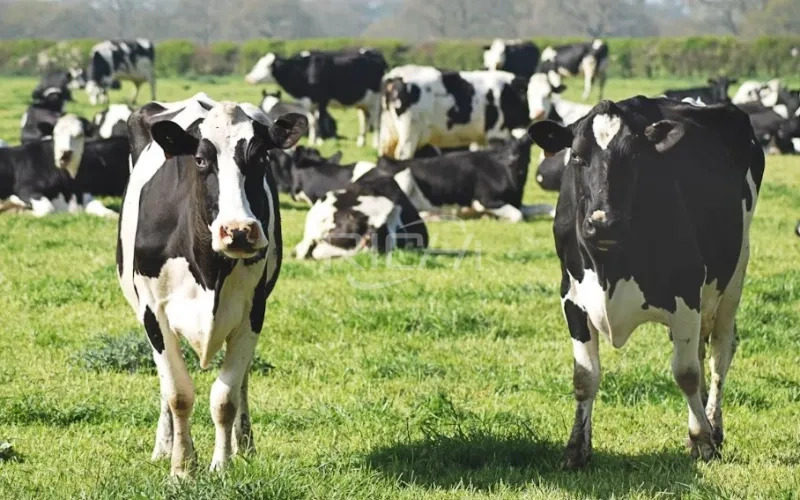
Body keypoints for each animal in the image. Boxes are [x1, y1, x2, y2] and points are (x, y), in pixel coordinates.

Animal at [116, 94, 307, 477]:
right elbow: (177, 393)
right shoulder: (153, 313)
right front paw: (181, 467)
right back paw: (164, 446)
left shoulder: (252, 312)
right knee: (165, 386)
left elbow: (225, 397)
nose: (239, 231)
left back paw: (244, 443)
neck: (209, 271)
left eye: (261, 157)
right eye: (201, 159)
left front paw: (222, 464)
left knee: (243, 380)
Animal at [245, 48, 386, 147]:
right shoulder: (308, 103)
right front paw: (312, 141)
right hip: (363, 103)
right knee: (365, 120)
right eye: (257, 64)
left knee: (376, 121)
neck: (304, 69)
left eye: (267, 66)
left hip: (376, 99)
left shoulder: (322, 100)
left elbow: (320, 120)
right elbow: (312, 121)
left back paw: (376, 144)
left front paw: (320, 141)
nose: (249, 78)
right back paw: (361, 142)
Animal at [373, 135, 553, 222]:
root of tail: (386, 160)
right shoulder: (485, 200)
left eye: (524, 146)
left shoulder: (517, 202)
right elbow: (518, 215)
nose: (512, 159)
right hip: (404, 179)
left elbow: (547, 207)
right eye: (504, 146)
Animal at [379, 65, 530, 160]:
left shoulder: (480, 138)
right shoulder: (497, 133)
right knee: (403, 154)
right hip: (410, 132)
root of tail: (395, 76)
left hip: (389, 132)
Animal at [526, 95, 764, 468]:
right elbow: (584, 376)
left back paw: (714, 427)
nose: (603, 222)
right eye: (576, 155)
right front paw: (576, 449)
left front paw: (702, 441)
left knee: (719, 353)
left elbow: (686, 373)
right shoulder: (572, 298)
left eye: (634, 155)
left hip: (734, 273)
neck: (609, 266)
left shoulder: (686, 292)